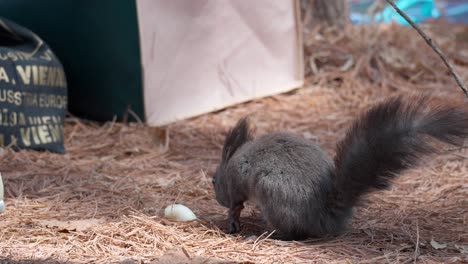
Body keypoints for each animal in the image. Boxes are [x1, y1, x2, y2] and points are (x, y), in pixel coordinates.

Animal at [214, 96, 468, 240]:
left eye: (213, 181)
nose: (218, 199)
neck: (236, 158)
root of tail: (323, 216)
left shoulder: (237, 182)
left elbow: (237, 202)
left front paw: (233, 217)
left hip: (272, 194)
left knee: (293, 234)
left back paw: (267, 236)